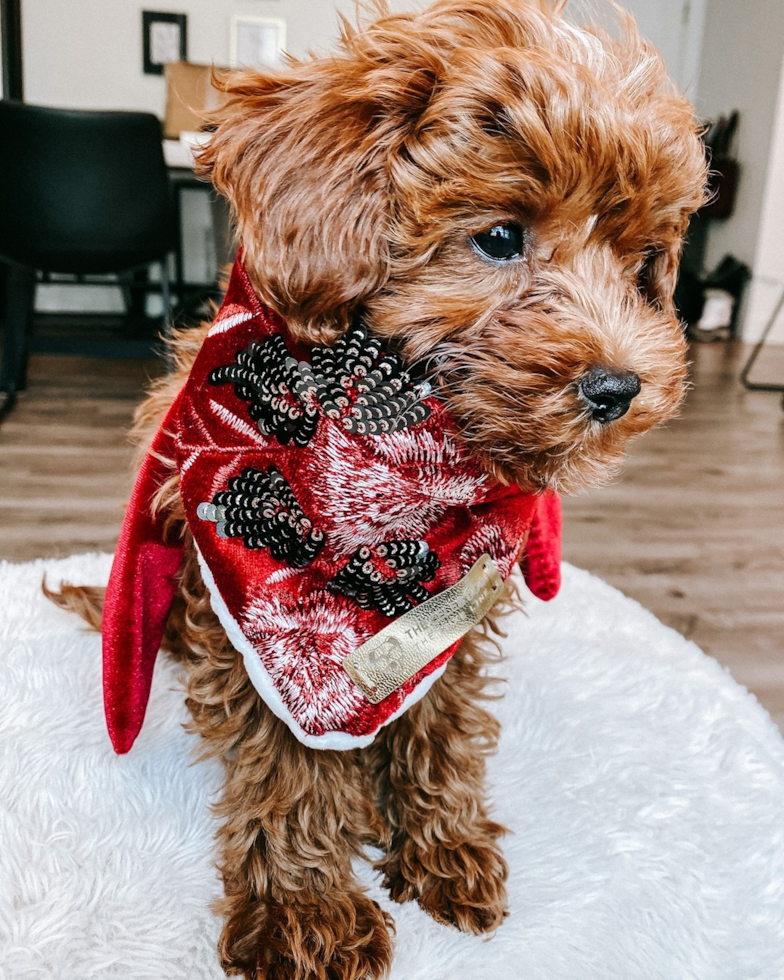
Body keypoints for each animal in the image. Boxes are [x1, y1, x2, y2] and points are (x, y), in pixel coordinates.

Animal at [55, 1, 704, 980]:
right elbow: (290, 766)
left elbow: (441, 724)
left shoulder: (456, 599)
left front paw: (446, 847)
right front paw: (305, 913)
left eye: (642, 263)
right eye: (500, 237)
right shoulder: (264, 618)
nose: (618, 387)